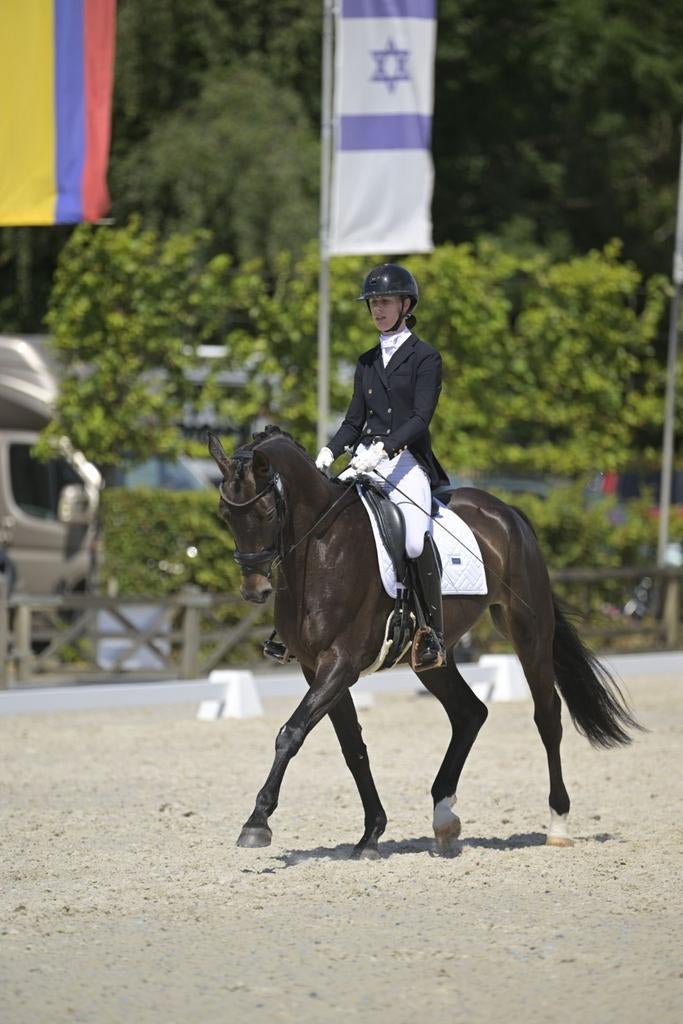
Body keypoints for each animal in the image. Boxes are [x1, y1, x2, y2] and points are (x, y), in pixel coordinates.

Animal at [208, 425, 639, 858]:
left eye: (266, 513)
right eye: (225, 515)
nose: (254, 590)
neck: (322, 548)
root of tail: (507, 511)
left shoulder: (341, 663)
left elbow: (291, 733)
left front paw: (257, 822)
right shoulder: (316, 668)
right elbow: (352, 747)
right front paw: (371, 833)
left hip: (528, 631)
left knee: (547, 715)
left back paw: (558, 823)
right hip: (431, 658)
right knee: (470, 713)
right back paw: (444, 819)